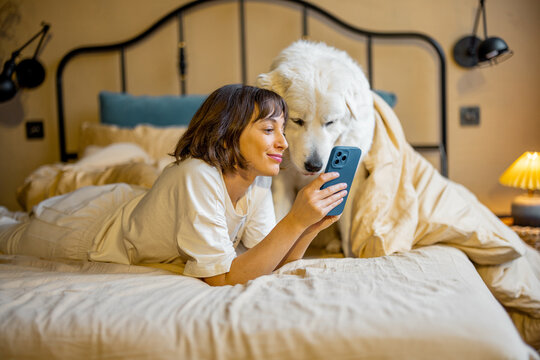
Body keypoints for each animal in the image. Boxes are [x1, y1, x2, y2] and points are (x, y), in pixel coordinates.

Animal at [258, 40, 376, 253]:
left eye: (330, 122)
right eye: (297, 121)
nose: (313, 166)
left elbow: (347, 226)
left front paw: (350, 255)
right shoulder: (282, 180)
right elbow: (280, 221)